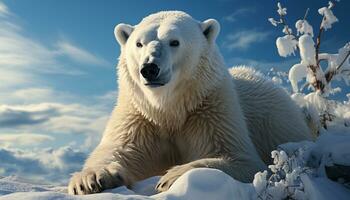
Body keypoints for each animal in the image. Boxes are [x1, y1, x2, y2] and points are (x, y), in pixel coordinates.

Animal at [67, 10, 314, 195]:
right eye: (139, 43)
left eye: (174, 42)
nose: (149, 68)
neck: (169, 109)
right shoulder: (140, 116)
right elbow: (119, 148)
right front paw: (91, 179)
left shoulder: (208, 109)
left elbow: (241, 159)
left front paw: (170, 178)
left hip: (277, 122)